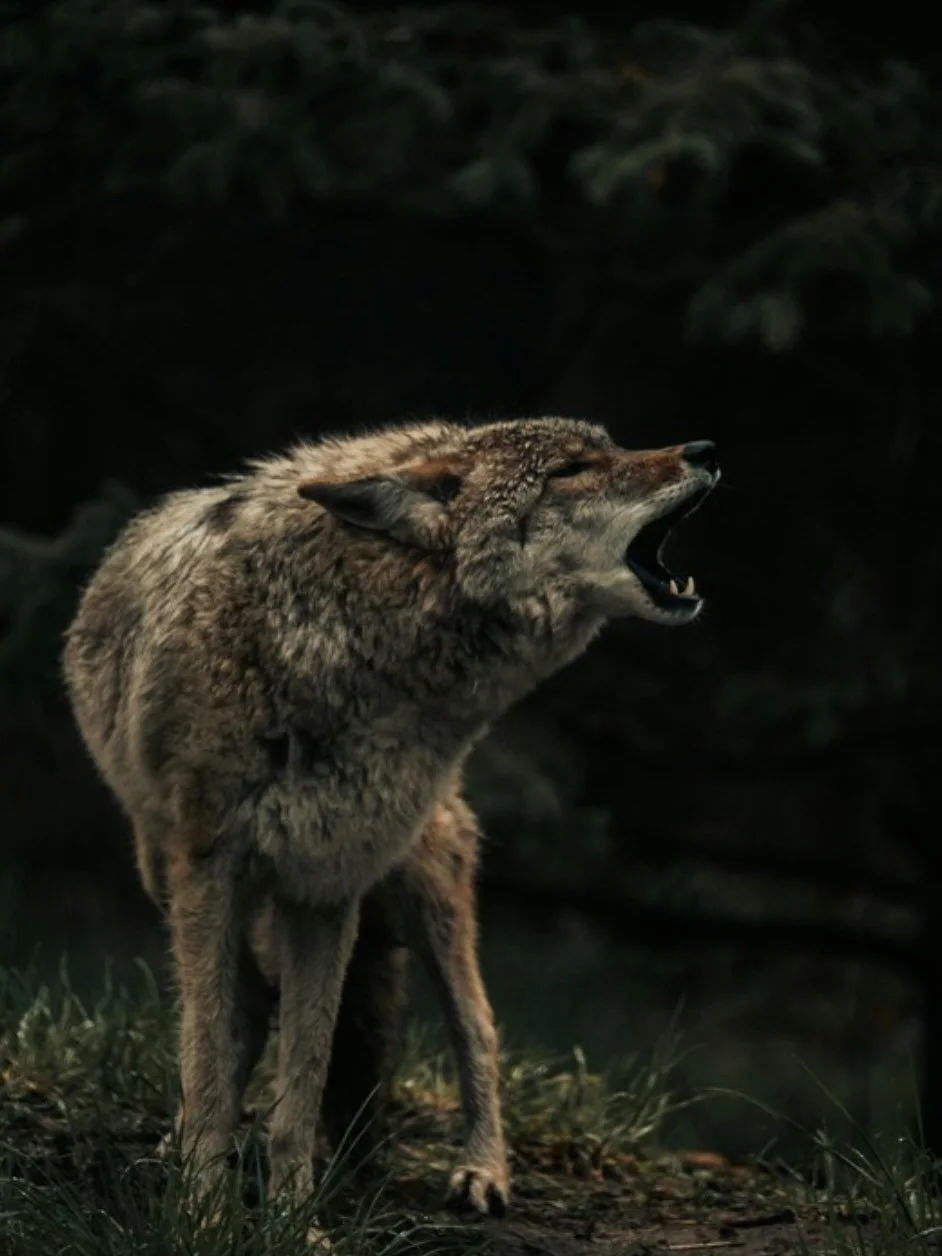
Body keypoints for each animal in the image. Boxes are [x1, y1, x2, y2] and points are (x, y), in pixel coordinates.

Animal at [62, 416, 719, 1217]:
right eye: (569, 470)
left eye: (613, 447)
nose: (705, 450)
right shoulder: (214, 874)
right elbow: (214, 1051)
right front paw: (207, 1213)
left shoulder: (327, 885)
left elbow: (304, 1077)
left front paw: (293, 1221)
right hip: (167, 876)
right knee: (243, 1011)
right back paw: (187, 1142)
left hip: (428, 893)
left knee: (477, 1026)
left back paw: (482, 1171)